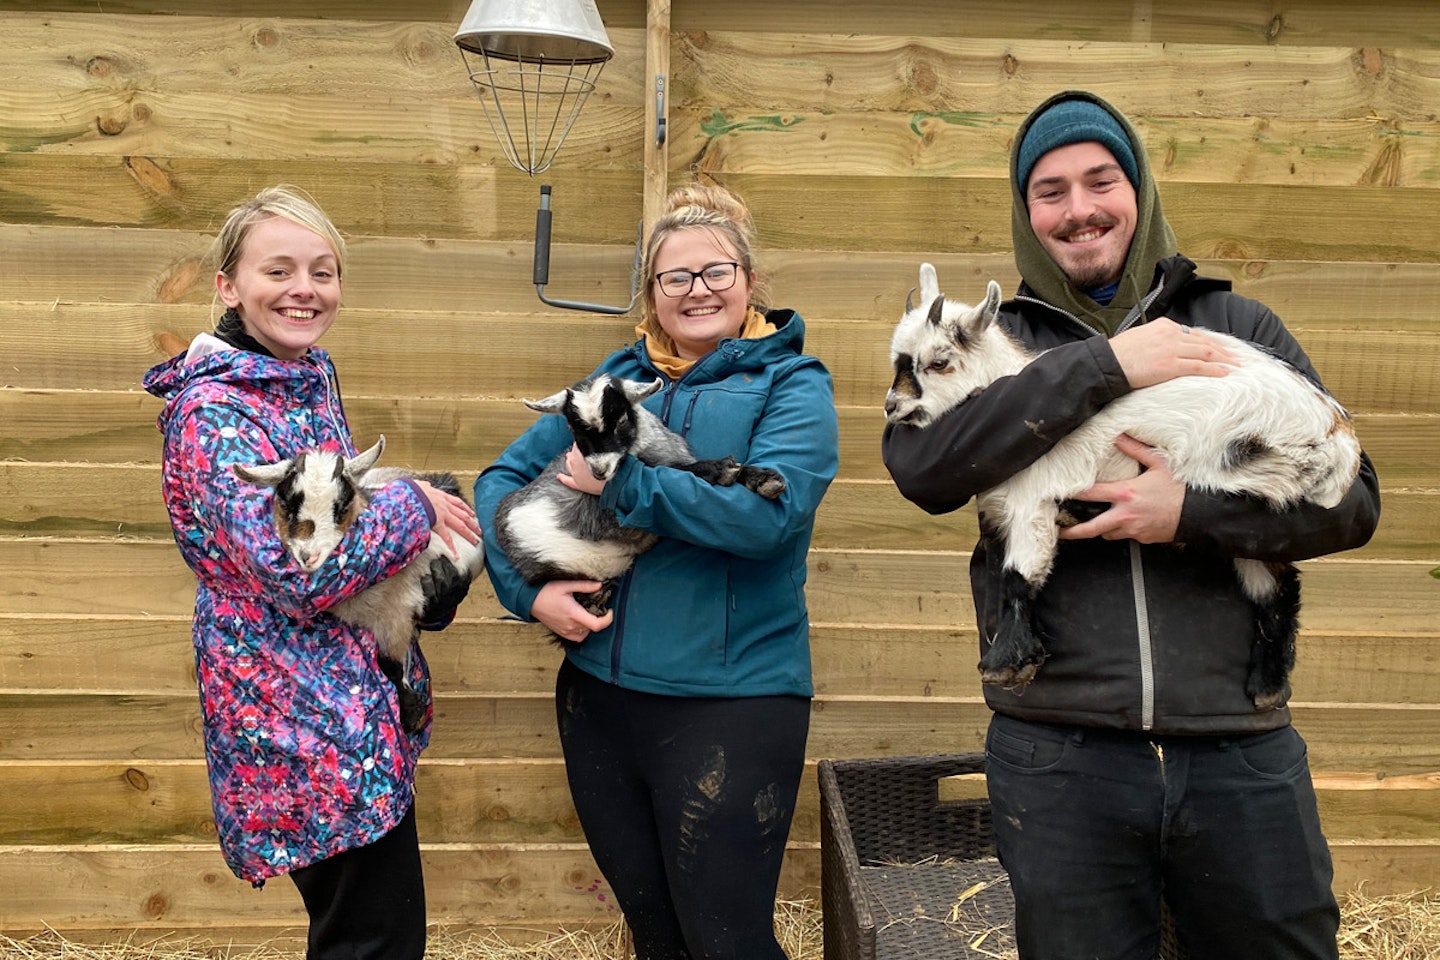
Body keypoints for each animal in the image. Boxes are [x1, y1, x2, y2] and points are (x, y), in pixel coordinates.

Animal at [231, 437, 483, 736]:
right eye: (285, 503)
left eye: (342, 505)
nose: (308, 556)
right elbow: (389, 666)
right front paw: (413, 710)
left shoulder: (397, 612)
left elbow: (390, 664)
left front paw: (412, 715)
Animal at [495, 371, 789, 627]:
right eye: (572, 428)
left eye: (622, 419)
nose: (599, 472)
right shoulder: (609, 517)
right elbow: (678, 471)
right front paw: (721, 468)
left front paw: (765, 479)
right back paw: (594, 599)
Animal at [881, 264, 1365, 713]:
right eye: (898, 361)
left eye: (938, 362)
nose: (892, 406)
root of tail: (1337, 433)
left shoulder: (1032, 502)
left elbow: (1019, 575)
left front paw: (1004, 663)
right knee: (1277, 584)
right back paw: (1268, 687)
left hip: (1236, 465)